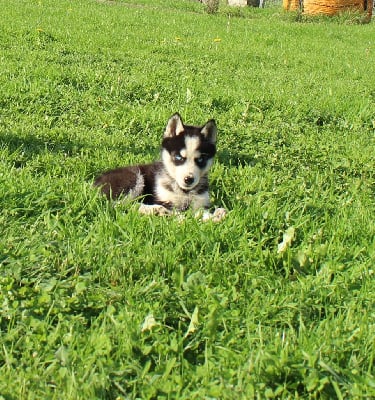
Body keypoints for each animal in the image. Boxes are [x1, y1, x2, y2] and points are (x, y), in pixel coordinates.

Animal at [94, 112, 226, 220]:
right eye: (178, 157)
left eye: (200, 159)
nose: (189, 179)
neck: (184, 192)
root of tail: (96, 181)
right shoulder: (164, 199)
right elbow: (178, 214)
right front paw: (181, 219)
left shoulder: (200, 203)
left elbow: (201, 213)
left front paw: (215, 216)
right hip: (135, 177)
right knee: (119, 205)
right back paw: (153, 210)